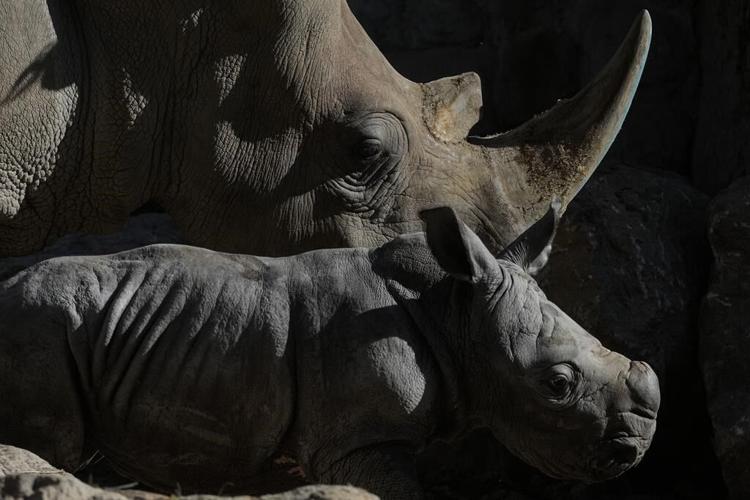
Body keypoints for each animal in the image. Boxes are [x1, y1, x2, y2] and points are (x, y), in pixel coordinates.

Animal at [0, 204, 660, 498]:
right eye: (558, 384)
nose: (634, 449)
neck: (453, 312)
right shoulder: (360, 441)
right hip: (39, 328)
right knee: (54, 443)